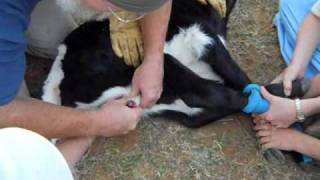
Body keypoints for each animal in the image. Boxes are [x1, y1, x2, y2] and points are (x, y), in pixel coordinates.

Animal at [42, 0, 308, 129]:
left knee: (204, 108)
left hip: (164, 101)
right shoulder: (204, 37)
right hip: (162, 66)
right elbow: (241, 78)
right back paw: (295, 91)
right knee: (220, 95)